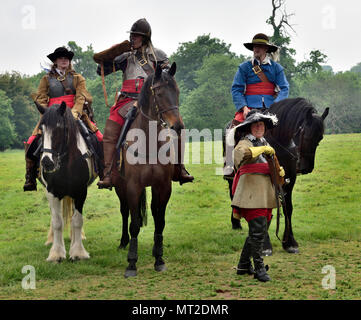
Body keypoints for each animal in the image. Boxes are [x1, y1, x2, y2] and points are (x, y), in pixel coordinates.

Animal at [35, 102, 97, 262]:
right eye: (41, 130)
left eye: (59, 128)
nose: (46, 162)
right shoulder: (52, 192)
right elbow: (57, 222)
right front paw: (56, 254)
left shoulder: (80, 192)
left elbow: (77, 220)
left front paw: (78, 252)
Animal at [112, 62, 181, 278]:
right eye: (159, 93)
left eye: (176, 91)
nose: (178, 126)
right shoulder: (133, 187)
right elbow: (134, 224)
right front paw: (131, 264)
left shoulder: (163, 187)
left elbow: (160, 221)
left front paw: (159, 258)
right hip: (120, 187)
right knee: (125, 211)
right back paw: (123, 242)